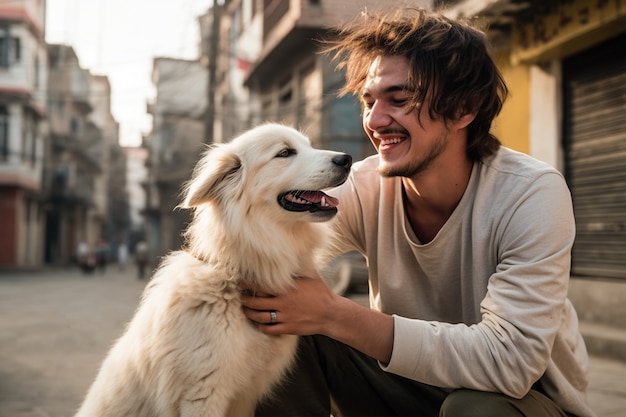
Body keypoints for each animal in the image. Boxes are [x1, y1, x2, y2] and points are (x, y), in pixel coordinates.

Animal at [73, 123, 352, 416]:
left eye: (308, 146)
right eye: (285, 153)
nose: (346, 159)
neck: (237, 277)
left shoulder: (245, 397)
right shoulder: (201, 394)